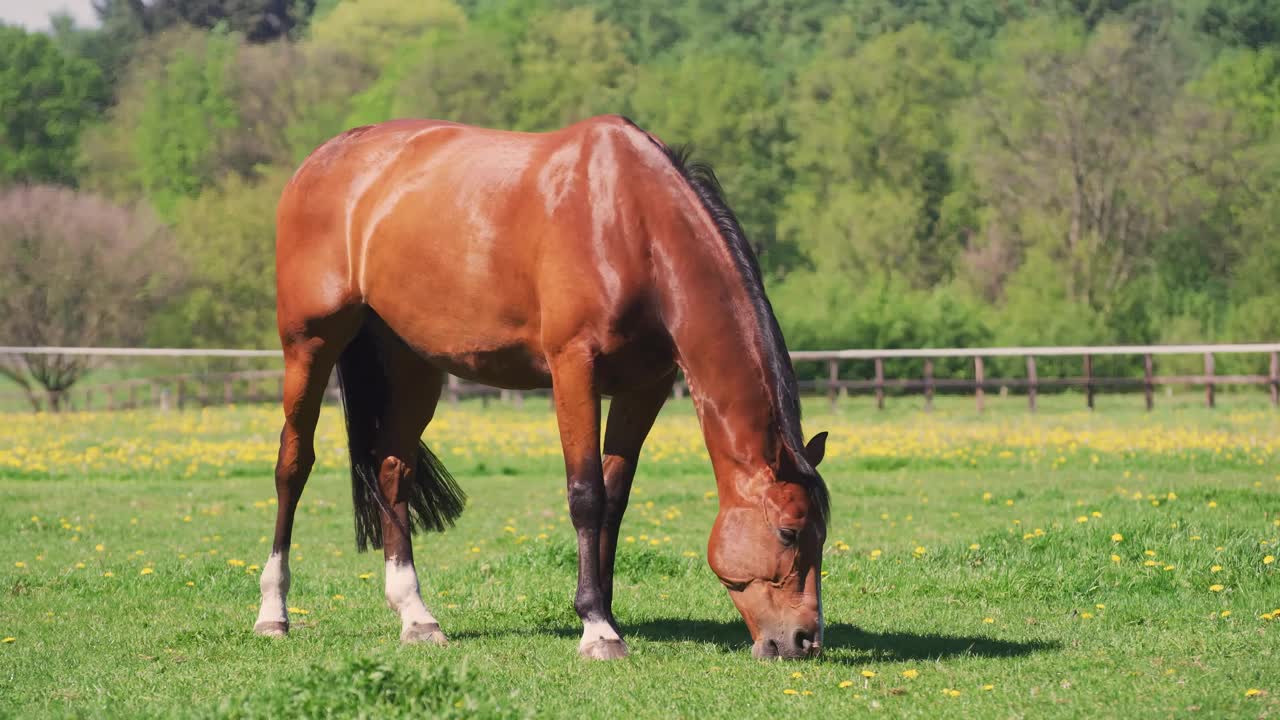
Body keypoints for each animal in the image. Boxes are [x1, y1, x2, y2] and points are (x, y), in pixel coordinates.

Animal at [258, 116, 829, 655]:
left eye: (823, 534)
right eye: (788, 531)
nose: (805, 640)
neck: (632, 224)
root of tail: (322, 160)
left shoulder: (644, 386)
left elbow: (615, 497)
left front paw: (607, 612)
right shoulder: (574, 367)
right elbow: (586, 494)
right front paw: (596, 628)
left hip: (411, 362)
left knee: (393, 471)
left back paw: (417, 617)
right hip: (309, 345)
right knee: (293, 464)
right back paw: (273, 611)